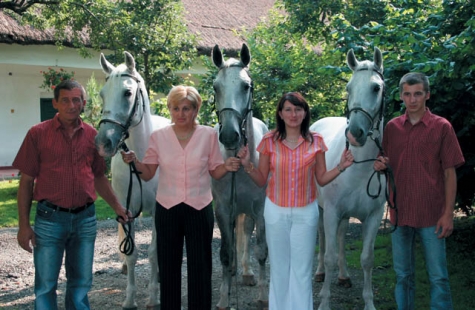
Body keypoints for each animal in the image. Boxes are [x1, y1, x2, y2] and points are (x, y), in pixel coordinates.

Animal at [94, 51, 170, 310]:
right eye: (102, 94)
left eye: (127, 93)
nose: (104, 143)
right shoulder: (126, 210)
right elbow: (132, 253)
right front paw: (129, 298)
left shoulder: (158, 211)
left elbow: (155, 252)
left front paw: (153, 296)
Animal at [312, 46, 386, 310]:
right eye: (348, 87)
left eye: (376, 88)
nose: (354, 133)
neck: (359, 168)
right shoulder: (332, 212)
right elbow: (330, 256)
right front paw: (324, 303)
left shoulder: (373, 217)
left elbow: (367, 259)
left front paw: (369, 303)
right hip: (323, 210)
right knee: (324, 239)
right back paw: (320, 273)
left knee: (342, 237)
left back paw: (343, 276)